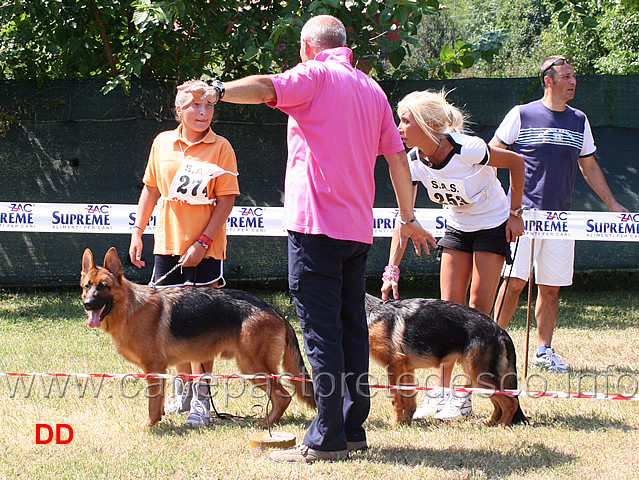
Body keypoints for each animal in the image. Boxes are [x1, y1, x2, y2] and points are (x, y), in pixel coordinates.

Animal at [81, 248, 316, 428]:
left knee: (283, 395)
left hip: (252, 367)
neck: (130, 308)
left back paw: (266, 423)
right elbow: (160, 399)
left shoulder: (154, 367)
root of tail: (277, 314)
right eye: (87, 286)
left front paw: (149, 425)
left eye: (103, 286)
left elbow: (152, 402)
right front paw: (160, 417)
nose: (88, 304)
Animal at [364, 294, 528, 426]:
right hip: (479, 376)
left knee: (511, 402)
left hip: (479, 376)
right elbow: (409, 399)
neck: (370, 312)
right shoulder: (407, 369)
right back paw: (490, 421)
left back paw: (501, 425)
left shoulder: (393, 366)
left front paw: (395, 423)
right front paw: (406, 421)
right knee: (499, 403)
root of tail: (500, 330)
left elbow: (396, 398)